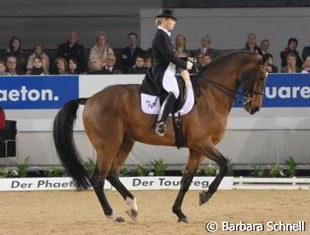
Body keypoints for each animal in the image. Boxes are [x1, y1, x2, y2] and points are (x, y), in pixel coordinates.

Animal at [52, 51, 268, 222]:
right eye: (260, 76)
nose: (255, 107)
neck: (211, 96)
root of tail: (90, 99)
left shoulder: (196, 149)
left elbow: (187, 179)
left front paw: (179, 213)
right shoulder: (202, 143)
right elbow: (224, 165)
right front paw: (205, 196)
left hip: (125, 142)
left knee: (112, 174)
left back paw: (133, 208)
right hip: (108, 145)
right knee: (98, 178)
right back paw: (113, 215)